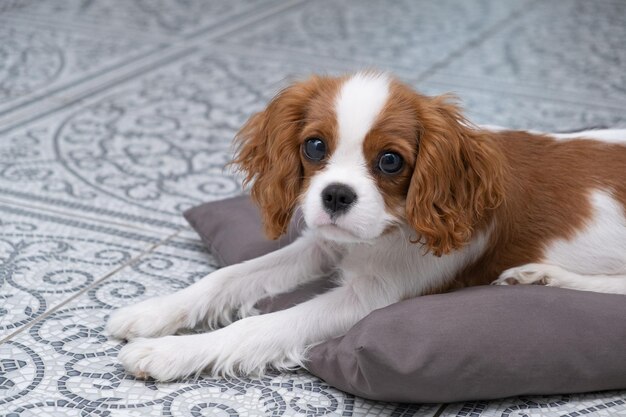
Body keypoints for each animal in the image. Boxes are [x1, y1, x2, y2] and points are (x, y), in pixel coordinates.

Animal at [107, 72, 624, 380]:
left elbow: (261, 326)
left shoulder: (373, 297)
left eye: (391, 160)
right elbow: (227, 276)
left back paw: (543, 277)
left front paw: (167, 354)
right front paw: (153, 313)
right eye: (315, 146)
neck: (390, 227)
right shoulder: (325, 244)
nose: (336, 195)